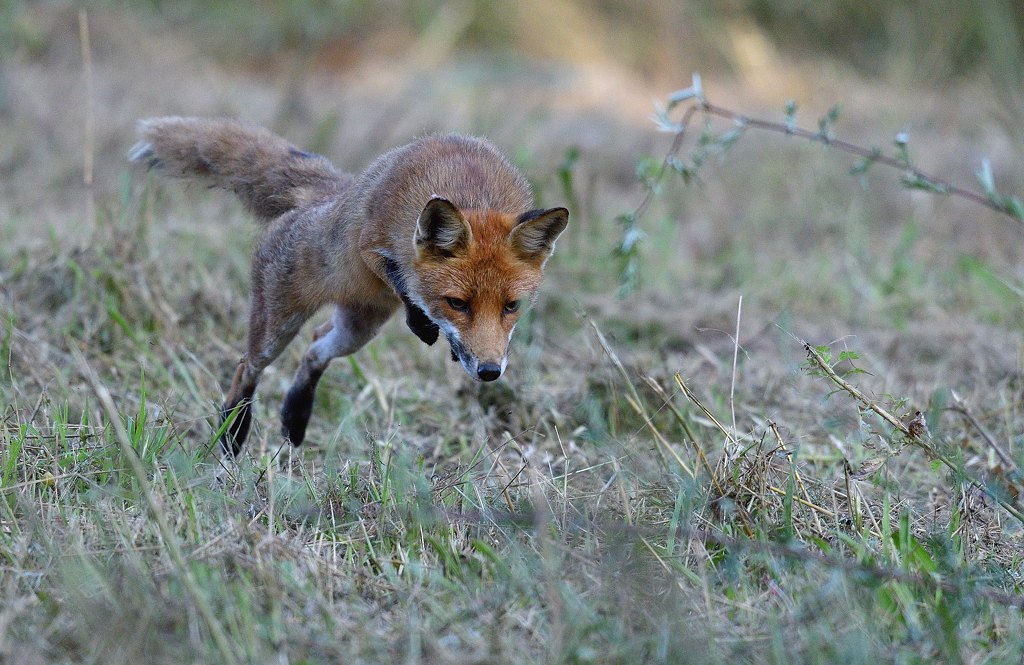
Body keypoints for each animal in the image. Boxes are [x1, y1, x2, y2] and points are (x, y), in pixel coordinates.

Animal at [128, 116, 569, 456]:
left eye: (511, 306)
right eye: (457, 303)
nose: (490, 371)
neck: (470, 187)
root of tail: (333, 193)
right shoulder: (370, 242)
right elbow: (397, 275)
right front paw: (421, 321)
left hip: (356, 331)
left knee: (315, 348)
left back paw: (295, 415)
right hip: (277, 323)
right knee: (246, 368)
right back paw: (233, 432)